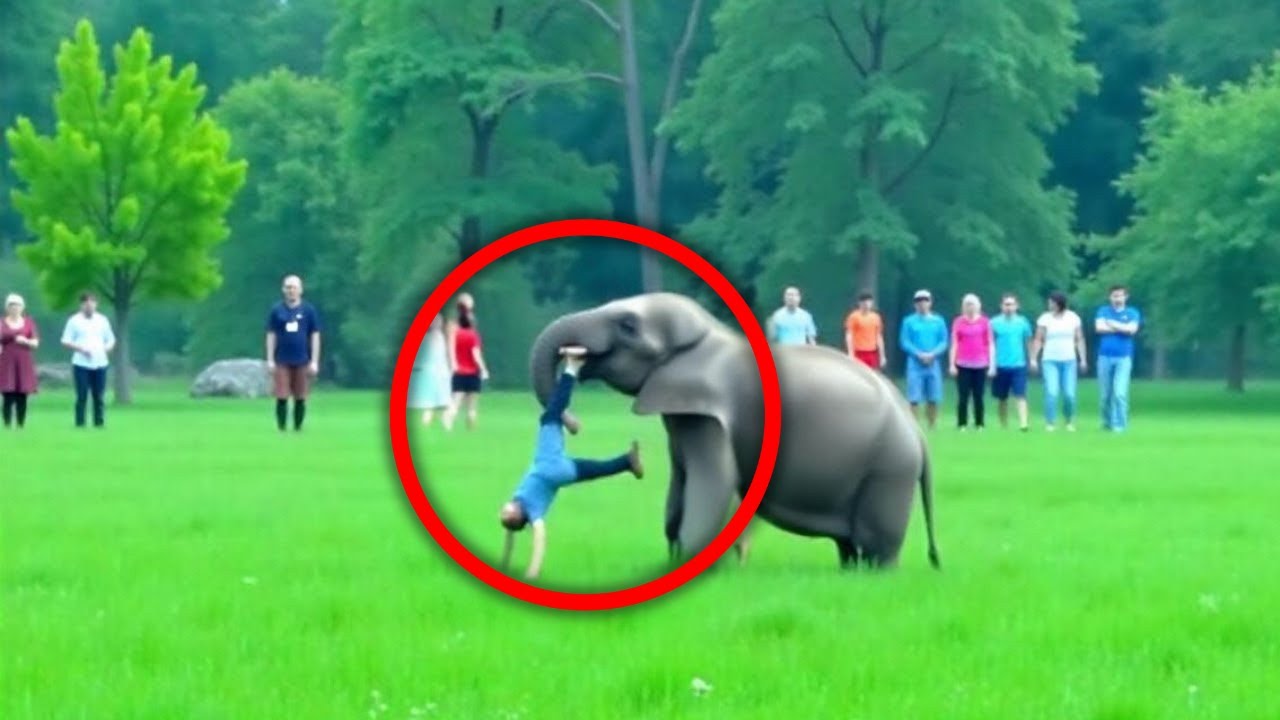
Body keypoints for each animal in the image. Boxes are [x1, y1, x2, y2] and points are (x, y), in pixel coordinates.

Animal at [528, 292, 940, 570]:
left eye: (628, 326)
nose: (574, 422)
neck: (707, 335)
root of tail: (918, 434)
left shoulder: (712, 415)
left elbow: (714, 483)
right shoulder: (686, 416)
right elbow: (679, 489)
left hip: (888, 469)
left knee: (876, 542)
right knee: (849, 544)